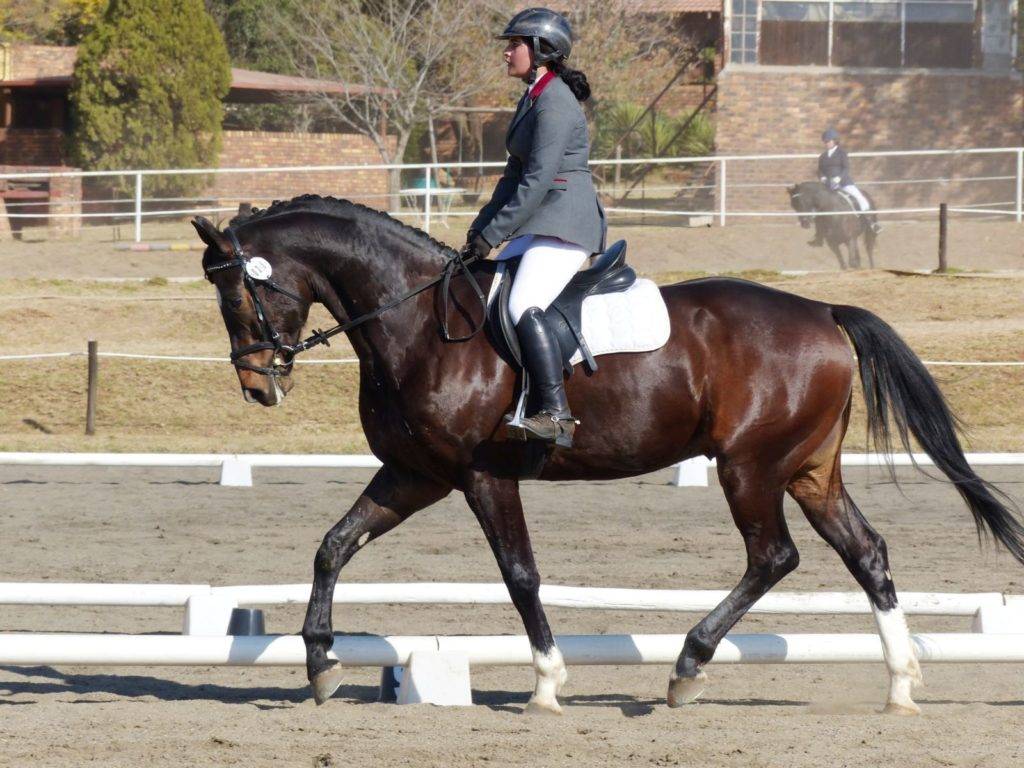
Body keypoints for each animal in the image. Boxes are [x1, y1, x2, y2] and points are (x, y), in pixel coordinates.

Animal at [191, 195, 1024, 715]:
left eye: (239, 298)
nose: (258, 388)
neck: (418, 322)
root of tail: (823, 310)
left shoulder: (481, 476)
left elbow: (520, 575)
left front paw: (547, 683)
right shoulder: (416, 474)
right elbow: (333, 546)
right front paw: (321, 663)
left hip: (750, 466)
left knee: (774, 556)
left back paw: (687, 669)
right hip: (807, 468)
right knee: (866, 552)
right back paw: (900, 686)